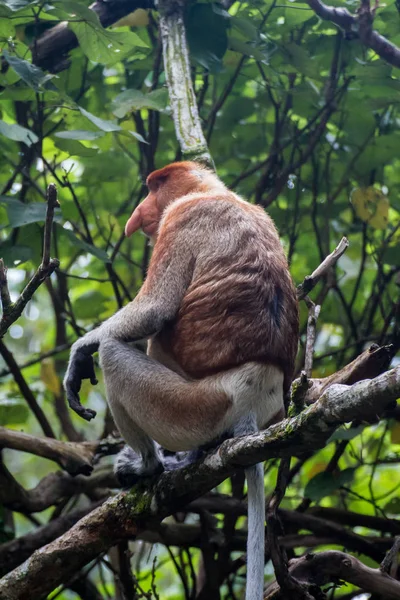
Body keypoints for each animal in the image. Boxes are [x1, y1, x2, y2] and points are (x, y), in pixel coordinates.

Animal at [64, 161, 298, 600]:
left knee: (117, 351)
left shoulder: (181, 219)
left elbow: (154, 310)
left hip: (192, 405)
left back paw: (151, 467)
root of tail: (252, 401)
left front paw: (81, 351)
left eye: (154, 188)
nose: (137, 214)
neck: (214, 193)